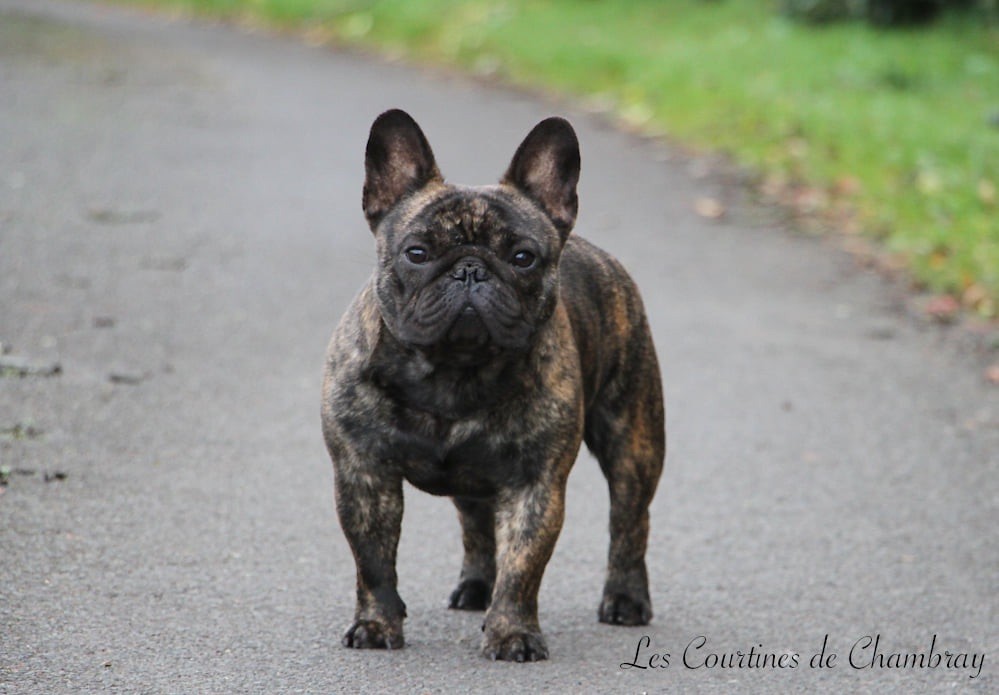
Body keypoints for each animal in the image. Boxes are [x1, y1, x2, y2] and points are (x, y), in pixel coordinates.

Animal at [320, 110, 664, 664]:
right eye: (417, 252)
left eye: (523, 258)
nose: (470, 269)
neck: (455, 370)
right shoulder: (362, 474)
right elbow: (372, 561)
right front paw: (375, 625)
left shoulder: (535, 484)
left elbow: (522, 566)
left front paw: (511, 633)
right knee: (477, 526)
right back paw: (476, 587)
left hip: (633, 443)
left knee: (629, 521)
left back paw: (626, 598)